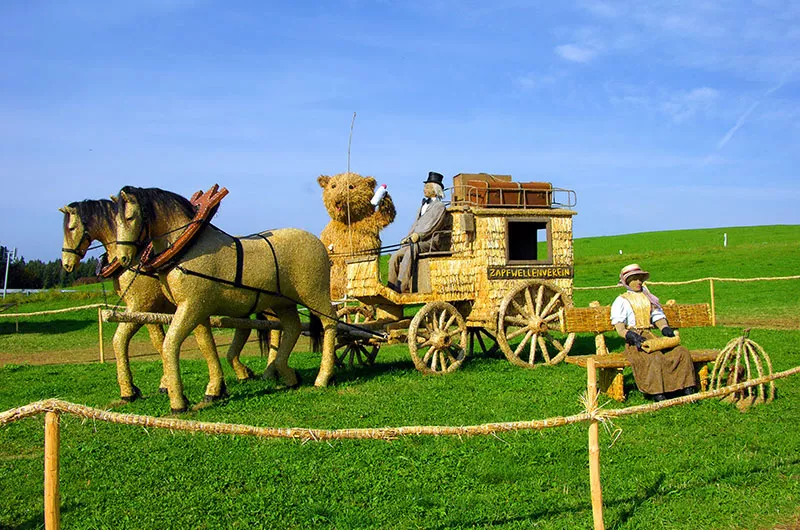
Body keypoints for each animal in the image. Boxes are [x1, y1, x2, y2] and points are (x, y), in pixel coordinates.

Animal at [61, 200, 258, 398]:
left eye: (71, 228)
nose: (66, 264)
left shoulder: (141, 305)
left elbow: (123, 340)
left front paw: (132, 390)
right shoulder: (149, 310)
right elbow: (159, 341)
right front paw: (164, 383)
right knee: (244, 328)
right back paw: (242, 370)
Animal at [112, 186, 338, 412]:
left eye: (130, 217)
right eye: (116, 220)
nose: (123, 258)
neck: (187, 248)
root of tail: (318, 243)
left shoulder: (190, 307)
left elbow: (170, 344)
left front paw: (178, 403)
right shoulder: (198, 310)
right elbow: (207, 347)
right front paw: (214, 391)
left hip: (314, 295)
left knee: (330, 322)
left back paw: (323, 377)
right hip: (283, 303)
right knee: (293, 328)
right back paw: (288, 375)